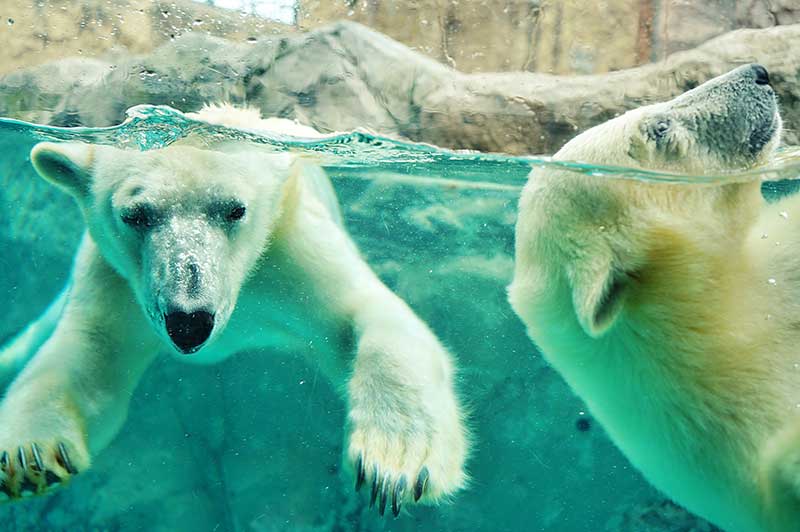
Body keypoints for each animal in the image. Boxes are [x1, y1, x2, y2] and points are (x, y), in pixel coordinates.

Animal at [0, 104, 468, 516]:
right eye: (136, 215)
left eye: (234, 209)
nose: (189, 321)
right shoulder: (115, 278)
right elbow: (94, 354)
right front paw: (28, 458)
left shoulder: (287, 246)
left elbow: (367, 317)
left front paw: (393, 466)